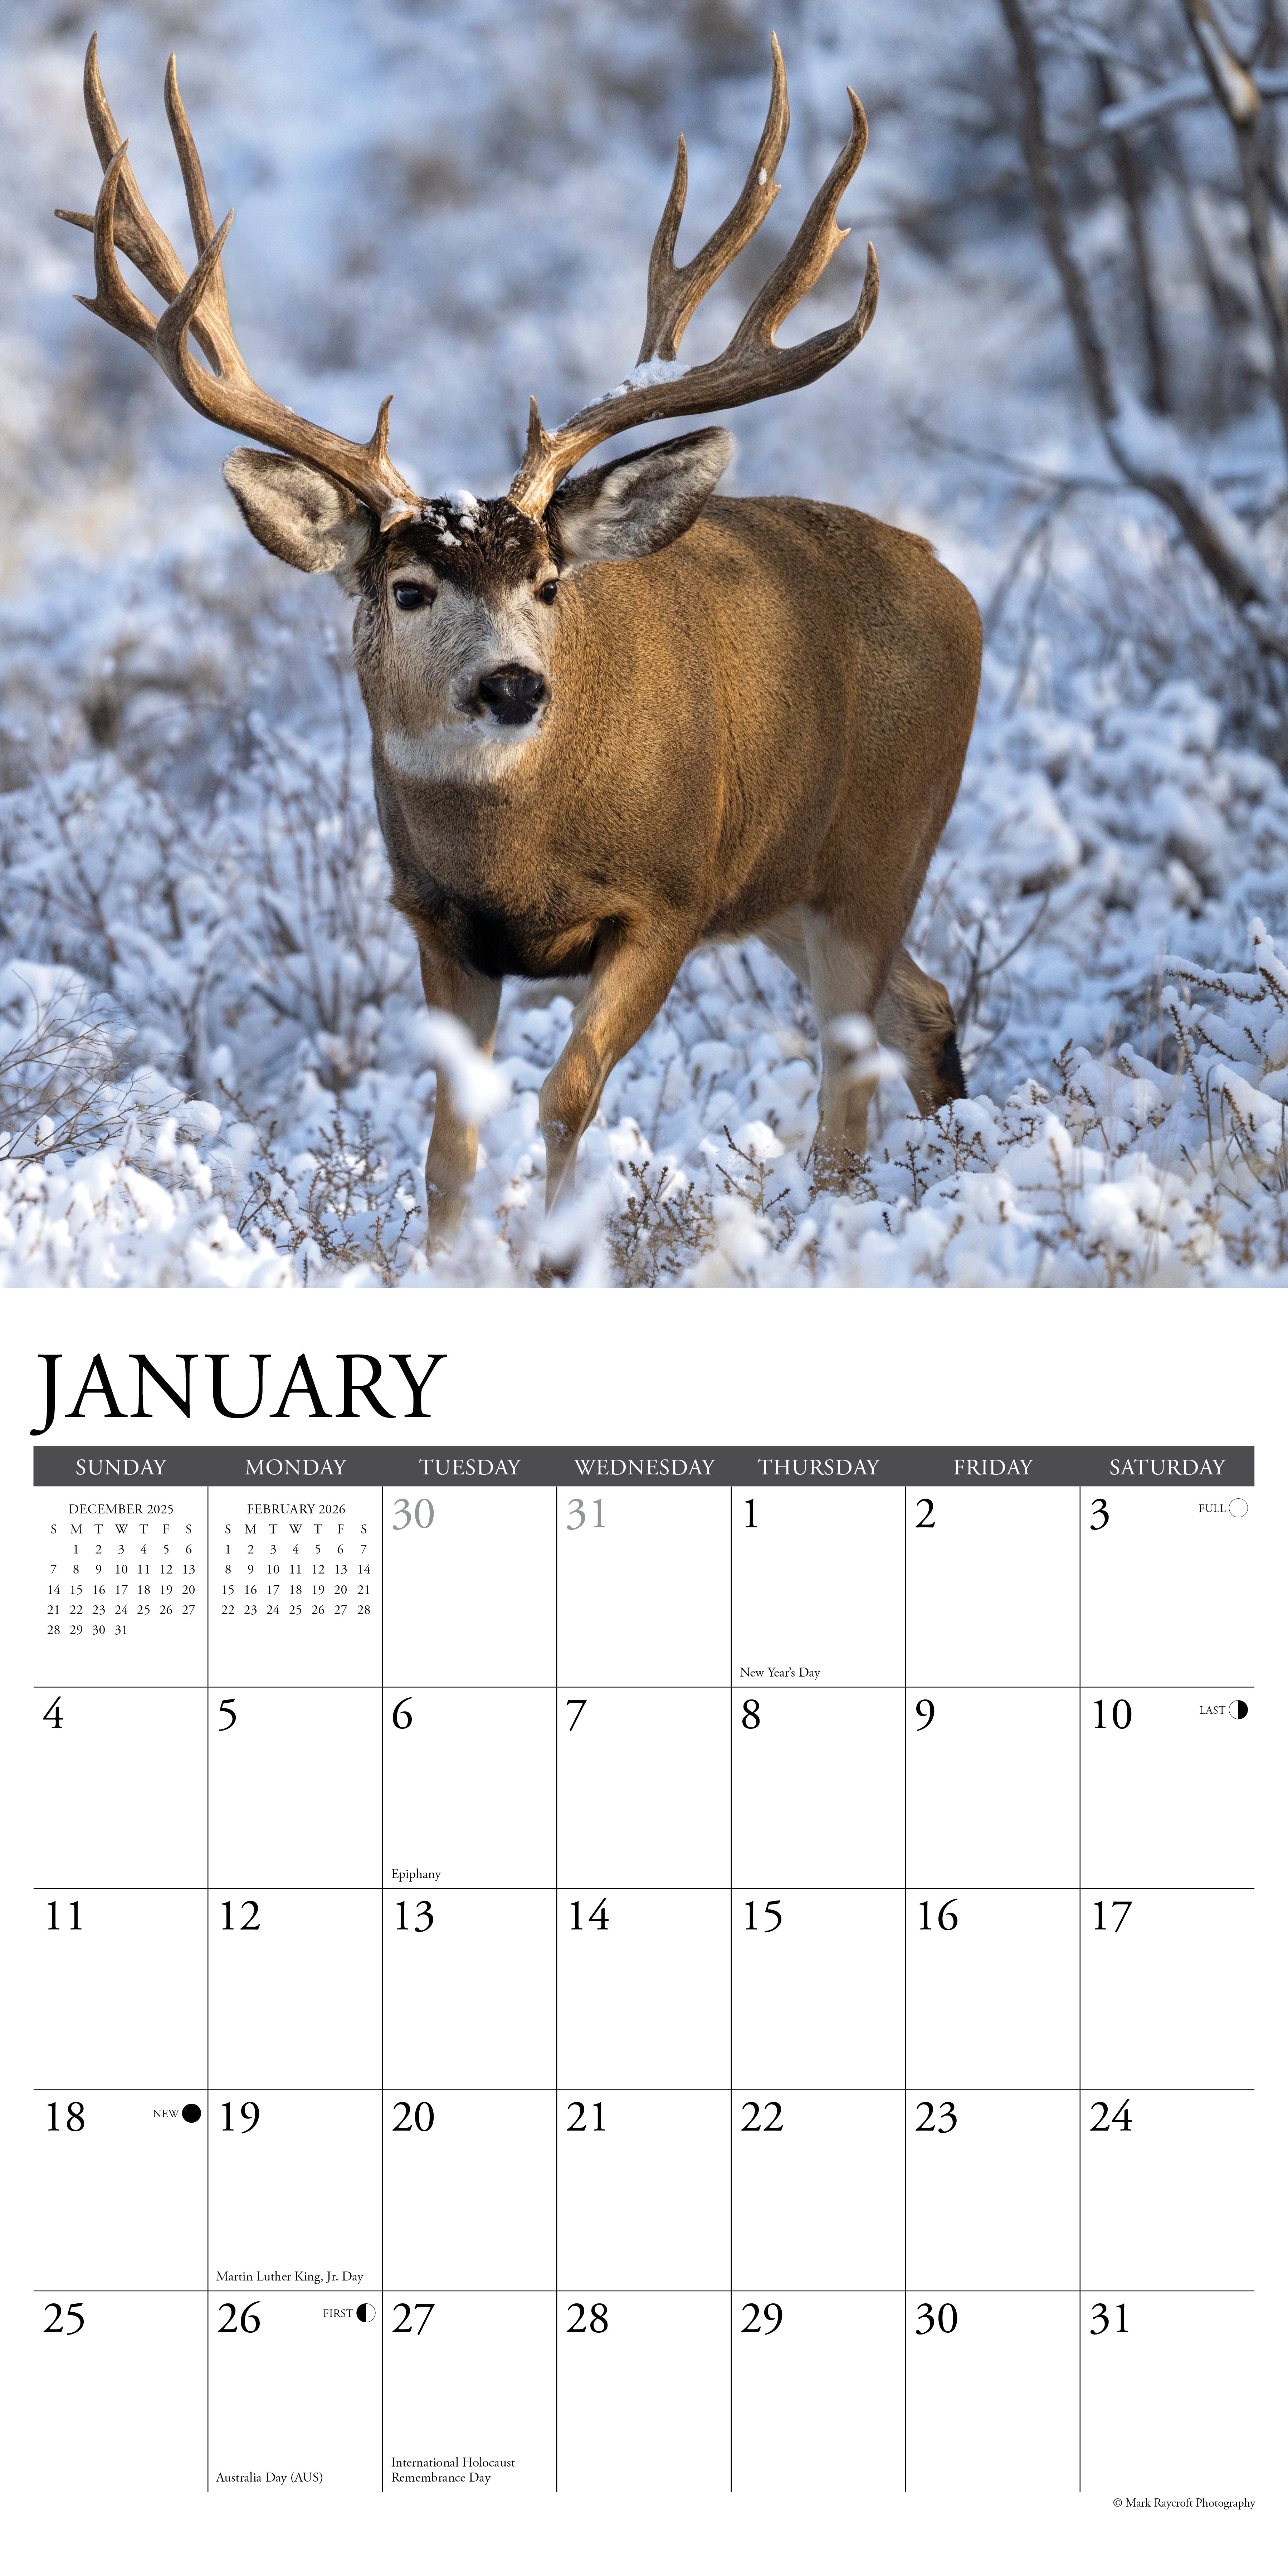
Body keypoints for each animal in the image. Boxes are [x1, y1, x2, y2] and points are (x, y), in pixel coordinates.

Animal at [58, 33, 981, 1247]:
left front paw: (550, 1253)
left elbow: (566, 1095)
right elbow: (450, 1142)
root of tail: (953, 583)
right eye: (407, 588)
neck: (512, 856)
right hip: (792, 884)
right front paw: (445, 1261)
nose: (512, 687)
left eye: (548, 583)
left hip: (884, 848)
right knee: (925, 1008)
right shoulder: (437, 924)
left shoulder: (668, 899)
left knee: (848, 1085)